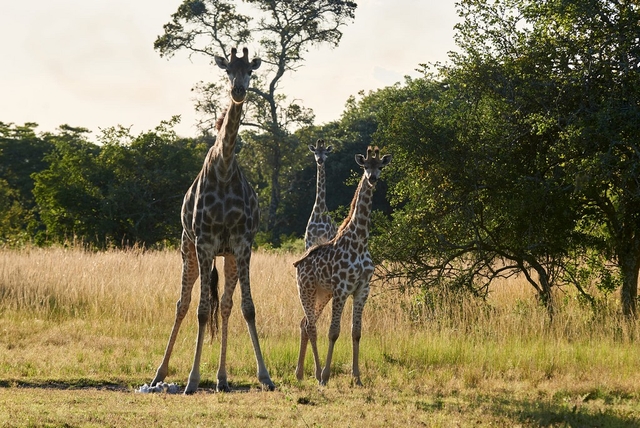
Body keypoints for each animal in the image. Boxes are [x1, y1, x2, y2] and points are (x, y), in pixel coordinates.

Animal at [151, 46, 276, 394]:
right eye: (227, 71)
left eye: (250, 71)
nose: (238, 91)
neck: (223, 167)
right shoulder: (204, 243)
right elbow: (201, 311)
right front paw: (192, 380)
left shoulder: (243, 244)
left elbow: (247, 308)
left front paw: (265, 376)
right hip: (187, 250)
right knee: (183, 303)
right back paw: (159, 374)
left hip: (228, 257)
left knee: (227, 306)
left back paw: (222, 378)